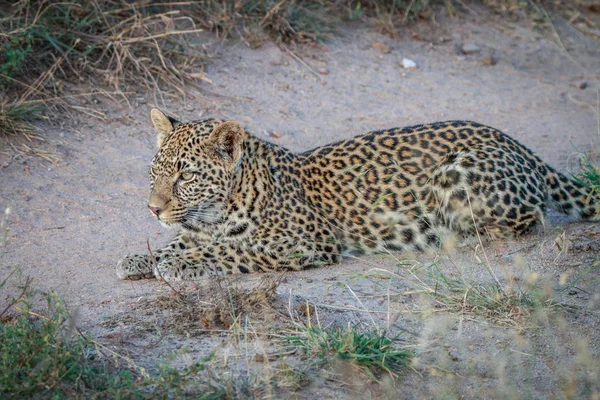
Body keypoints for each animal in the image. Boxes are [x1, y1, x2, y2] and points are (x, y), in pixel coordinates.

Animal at [115, 108, 596, 280]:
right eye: (155, 172)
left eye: (185, 176)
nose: (152, 209)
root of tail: (521, 147)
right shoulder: (194, 229)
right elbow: (177, 242)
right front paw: (139, 258)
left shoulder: (305, 242)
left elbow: (230, 251)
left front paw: (179, 265)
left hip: (458, 172)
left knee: (527, 221)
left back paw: (453, 237)